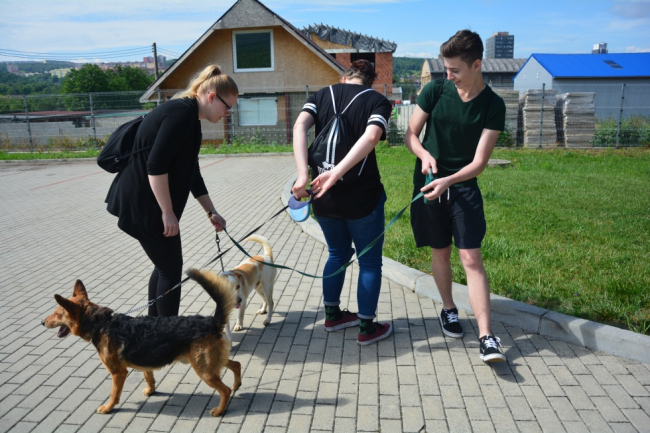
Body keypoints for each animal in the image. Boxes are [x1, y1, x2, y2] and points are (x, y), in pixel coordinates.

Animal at [41, 270, 242, 416]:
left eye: (57, 314)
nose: (42, 322)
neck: (101, 322)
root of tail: (212, 321)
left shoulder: (118, 373)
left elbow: (114, 394)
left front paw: (108, 408)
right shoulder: (145, 362)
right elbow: (148, 376)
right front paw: (150, 390)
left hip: (204, 370)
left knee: (224, 390)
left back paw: (220, 410)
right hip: (211, 363)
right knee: (236, 364)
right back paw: (237, 385)